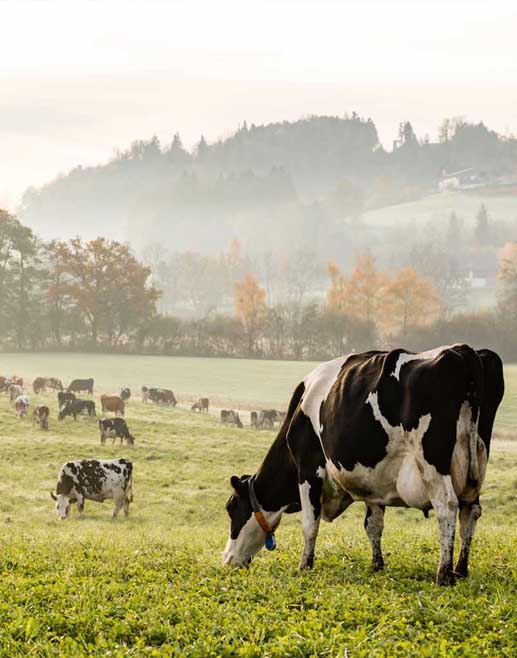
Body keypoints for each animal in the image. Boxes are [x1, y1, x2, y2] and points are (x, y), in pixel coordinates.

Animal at [223, 346, 504, 580]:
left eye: (231, 508)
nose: (227, 559)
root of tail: (463, 351)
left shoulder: (308, 469)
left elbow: (309, 524)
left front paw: (305, 565)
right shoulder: (374, 481)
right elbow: (373, 525)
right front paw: (376, 565)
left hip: (433, 463)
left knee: (447, 507)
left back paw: (444, 574)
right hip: (475, 465)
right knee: (470, 510)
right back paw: (461, 569)